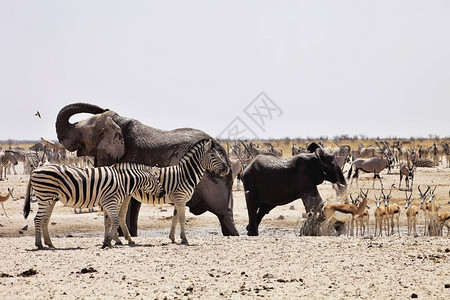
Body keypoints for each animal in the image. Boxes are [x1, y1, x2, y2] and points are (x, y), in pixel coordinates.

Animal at [22, 162, 163, 248]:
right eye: (157, 180)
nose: (163, 193)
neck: (123, 181)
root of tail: (35, 170)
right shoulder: (110, 201)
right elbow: (116, 221)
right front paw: (108, 241)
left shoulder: (106, 202)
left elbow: (108, 222)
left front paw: (108, 241)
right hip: (45, 196)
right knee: (37, 219)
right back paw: (39, 244)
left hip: (50, 199)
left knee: (44, 220)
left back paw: (50, 243)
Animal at [55, 103, 239, 237]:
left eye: (81, 133)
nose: (106, 109)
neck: (118, 123)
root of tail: (227, 161)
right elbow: (133, 205)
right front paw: (129, 235)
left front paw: (121, 235)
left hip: (214, 182)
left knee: (224, 215)